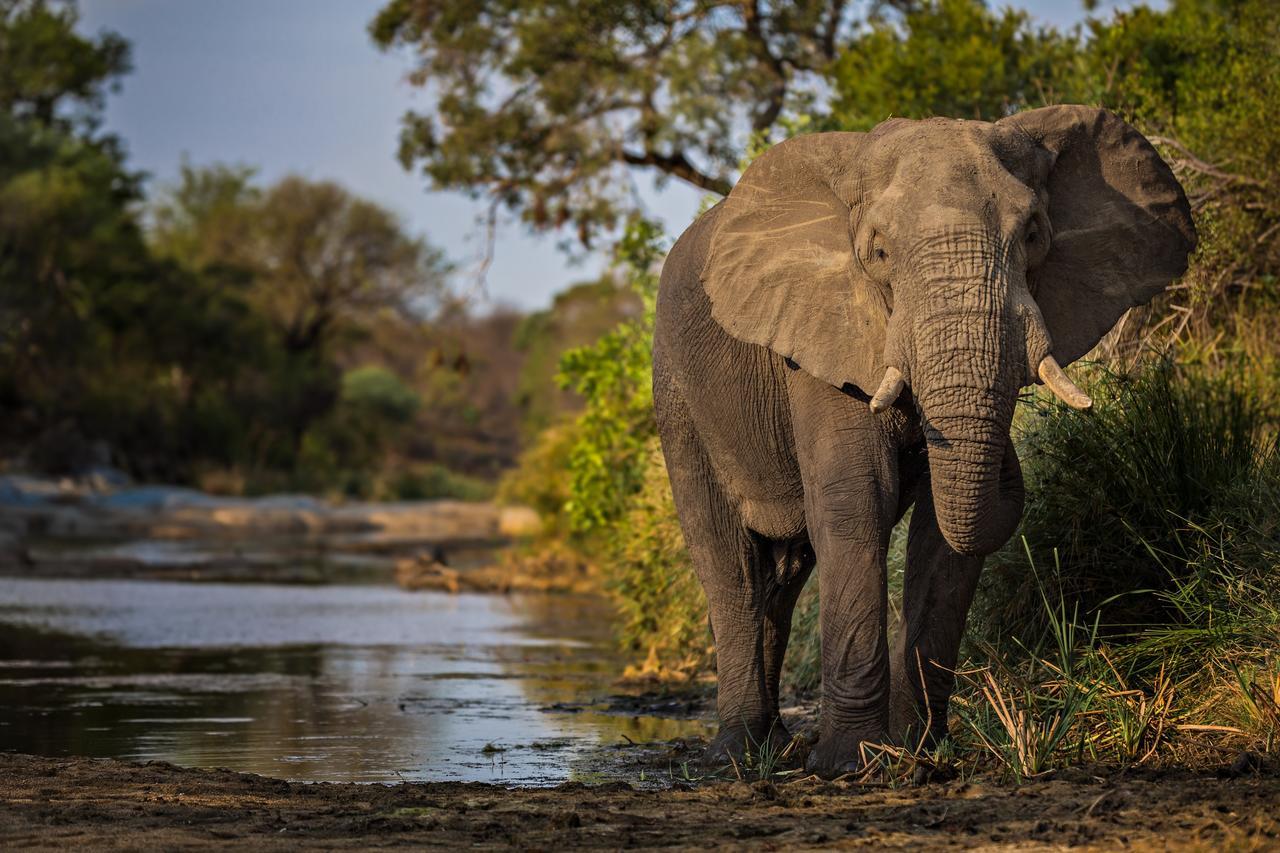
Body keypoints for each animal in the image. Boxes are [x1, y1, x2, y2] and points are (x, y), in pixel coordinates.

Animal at [655, 103, 1192, 773]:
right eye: (879, 252)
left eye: (1034, 234)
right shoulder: (820, 338)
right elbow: (856, 500)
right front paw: (849, 764)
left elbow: (944, 528)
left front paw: (922, 755)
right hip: (678, 397)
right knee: (732, 568)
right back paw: (737, 756)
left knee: (785, 576)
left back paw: (775, 749)